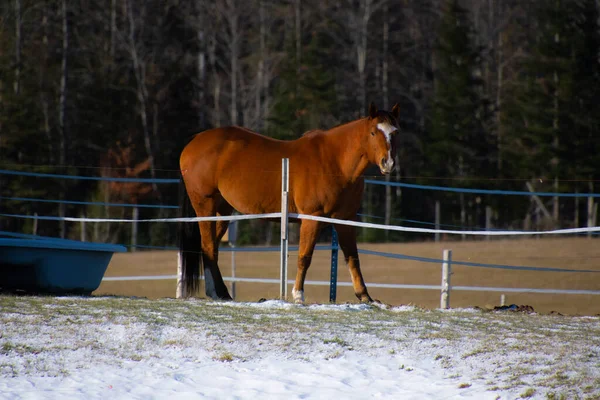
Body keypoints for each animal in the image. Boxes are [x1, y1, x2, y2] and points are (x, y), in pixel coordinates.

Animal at [180, 102, 400, 304]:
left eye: (395, 132)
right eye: (373, 132)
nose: (387, 163)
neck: (335, 162)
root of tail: (195, 140)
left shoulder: (345, 220)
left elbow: (352, 257)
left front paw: (365, 296)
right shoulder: (312, 218)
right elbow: (304, 257)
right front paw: (298, 295)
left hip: (222, 211)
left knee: (212, 248)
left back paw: (222, 293)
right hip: (205, 205)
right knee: (208, 246)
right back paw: (215, 292)